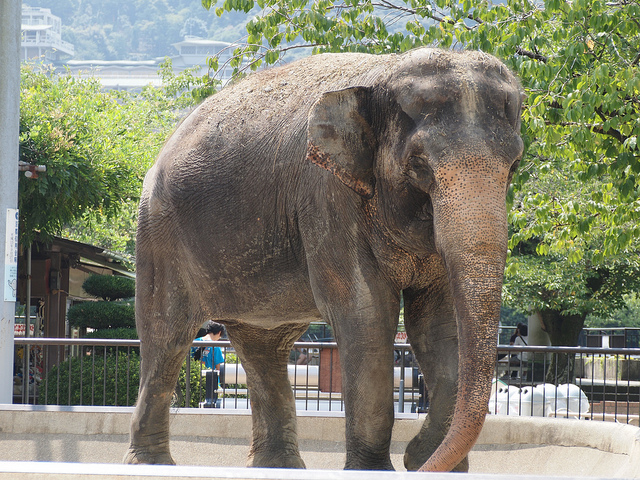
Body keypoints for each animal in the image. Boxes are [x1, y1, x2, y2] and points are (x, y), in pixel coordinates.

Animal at [124, 47, 523, 472]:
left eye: (514, 165)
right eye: (418, 165)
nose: (415, 460)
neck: (385, 70)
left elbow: (438, 325)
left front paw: (428, 459)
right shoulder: (327, 196)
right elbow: (366, 314)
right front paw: (383, 468)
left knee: (264, 346)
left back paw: (277, 466)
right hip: (159, 234)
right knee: (166, 338)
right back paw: (151, 464)